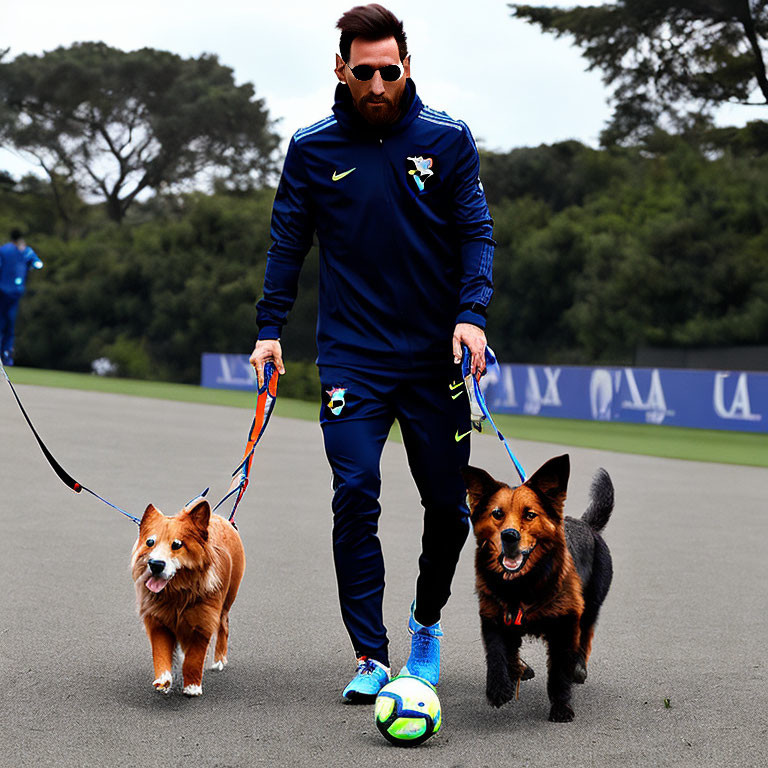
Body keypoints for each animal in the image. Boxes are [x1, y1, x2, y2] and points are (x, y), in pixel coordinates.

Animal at [462, 452, 612, 724]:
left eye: (530, 514)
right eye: (497, 513)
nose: (509, 536)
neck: (522, 584)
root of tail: (588, 525)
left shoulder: (564, 625)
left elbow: (559, 672)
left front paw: (561, 706)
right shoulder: (493, 616)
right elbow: (498, 653)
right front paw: (499, 687)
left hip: (592, 603)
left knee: (586, 633)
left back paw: (578, 666)